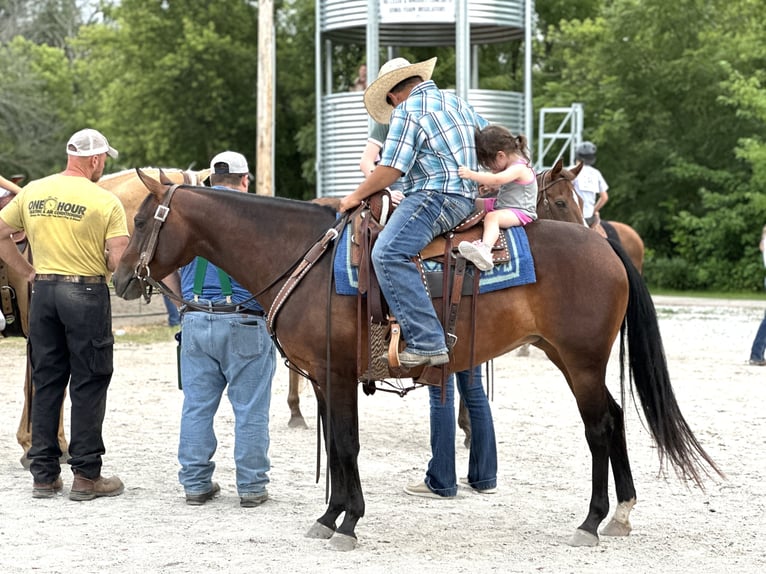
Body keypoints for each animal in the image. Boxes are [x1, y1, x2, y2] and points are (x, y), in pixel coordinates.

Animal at [111, 170, 724, 552]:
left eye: (140, 222)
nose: (119, 280)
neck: (302, 258)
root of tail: (602, 244)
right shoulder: (323, 380)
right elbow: (339, 445)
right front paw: (331, 517)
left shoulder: (337, 376)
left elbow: (346, 445)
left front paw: (348, 522)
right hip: (570, 358)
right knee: (613, 421)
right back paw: (620, 515)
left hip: (582, 362)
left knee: (600, 426)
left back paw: (594, 520)